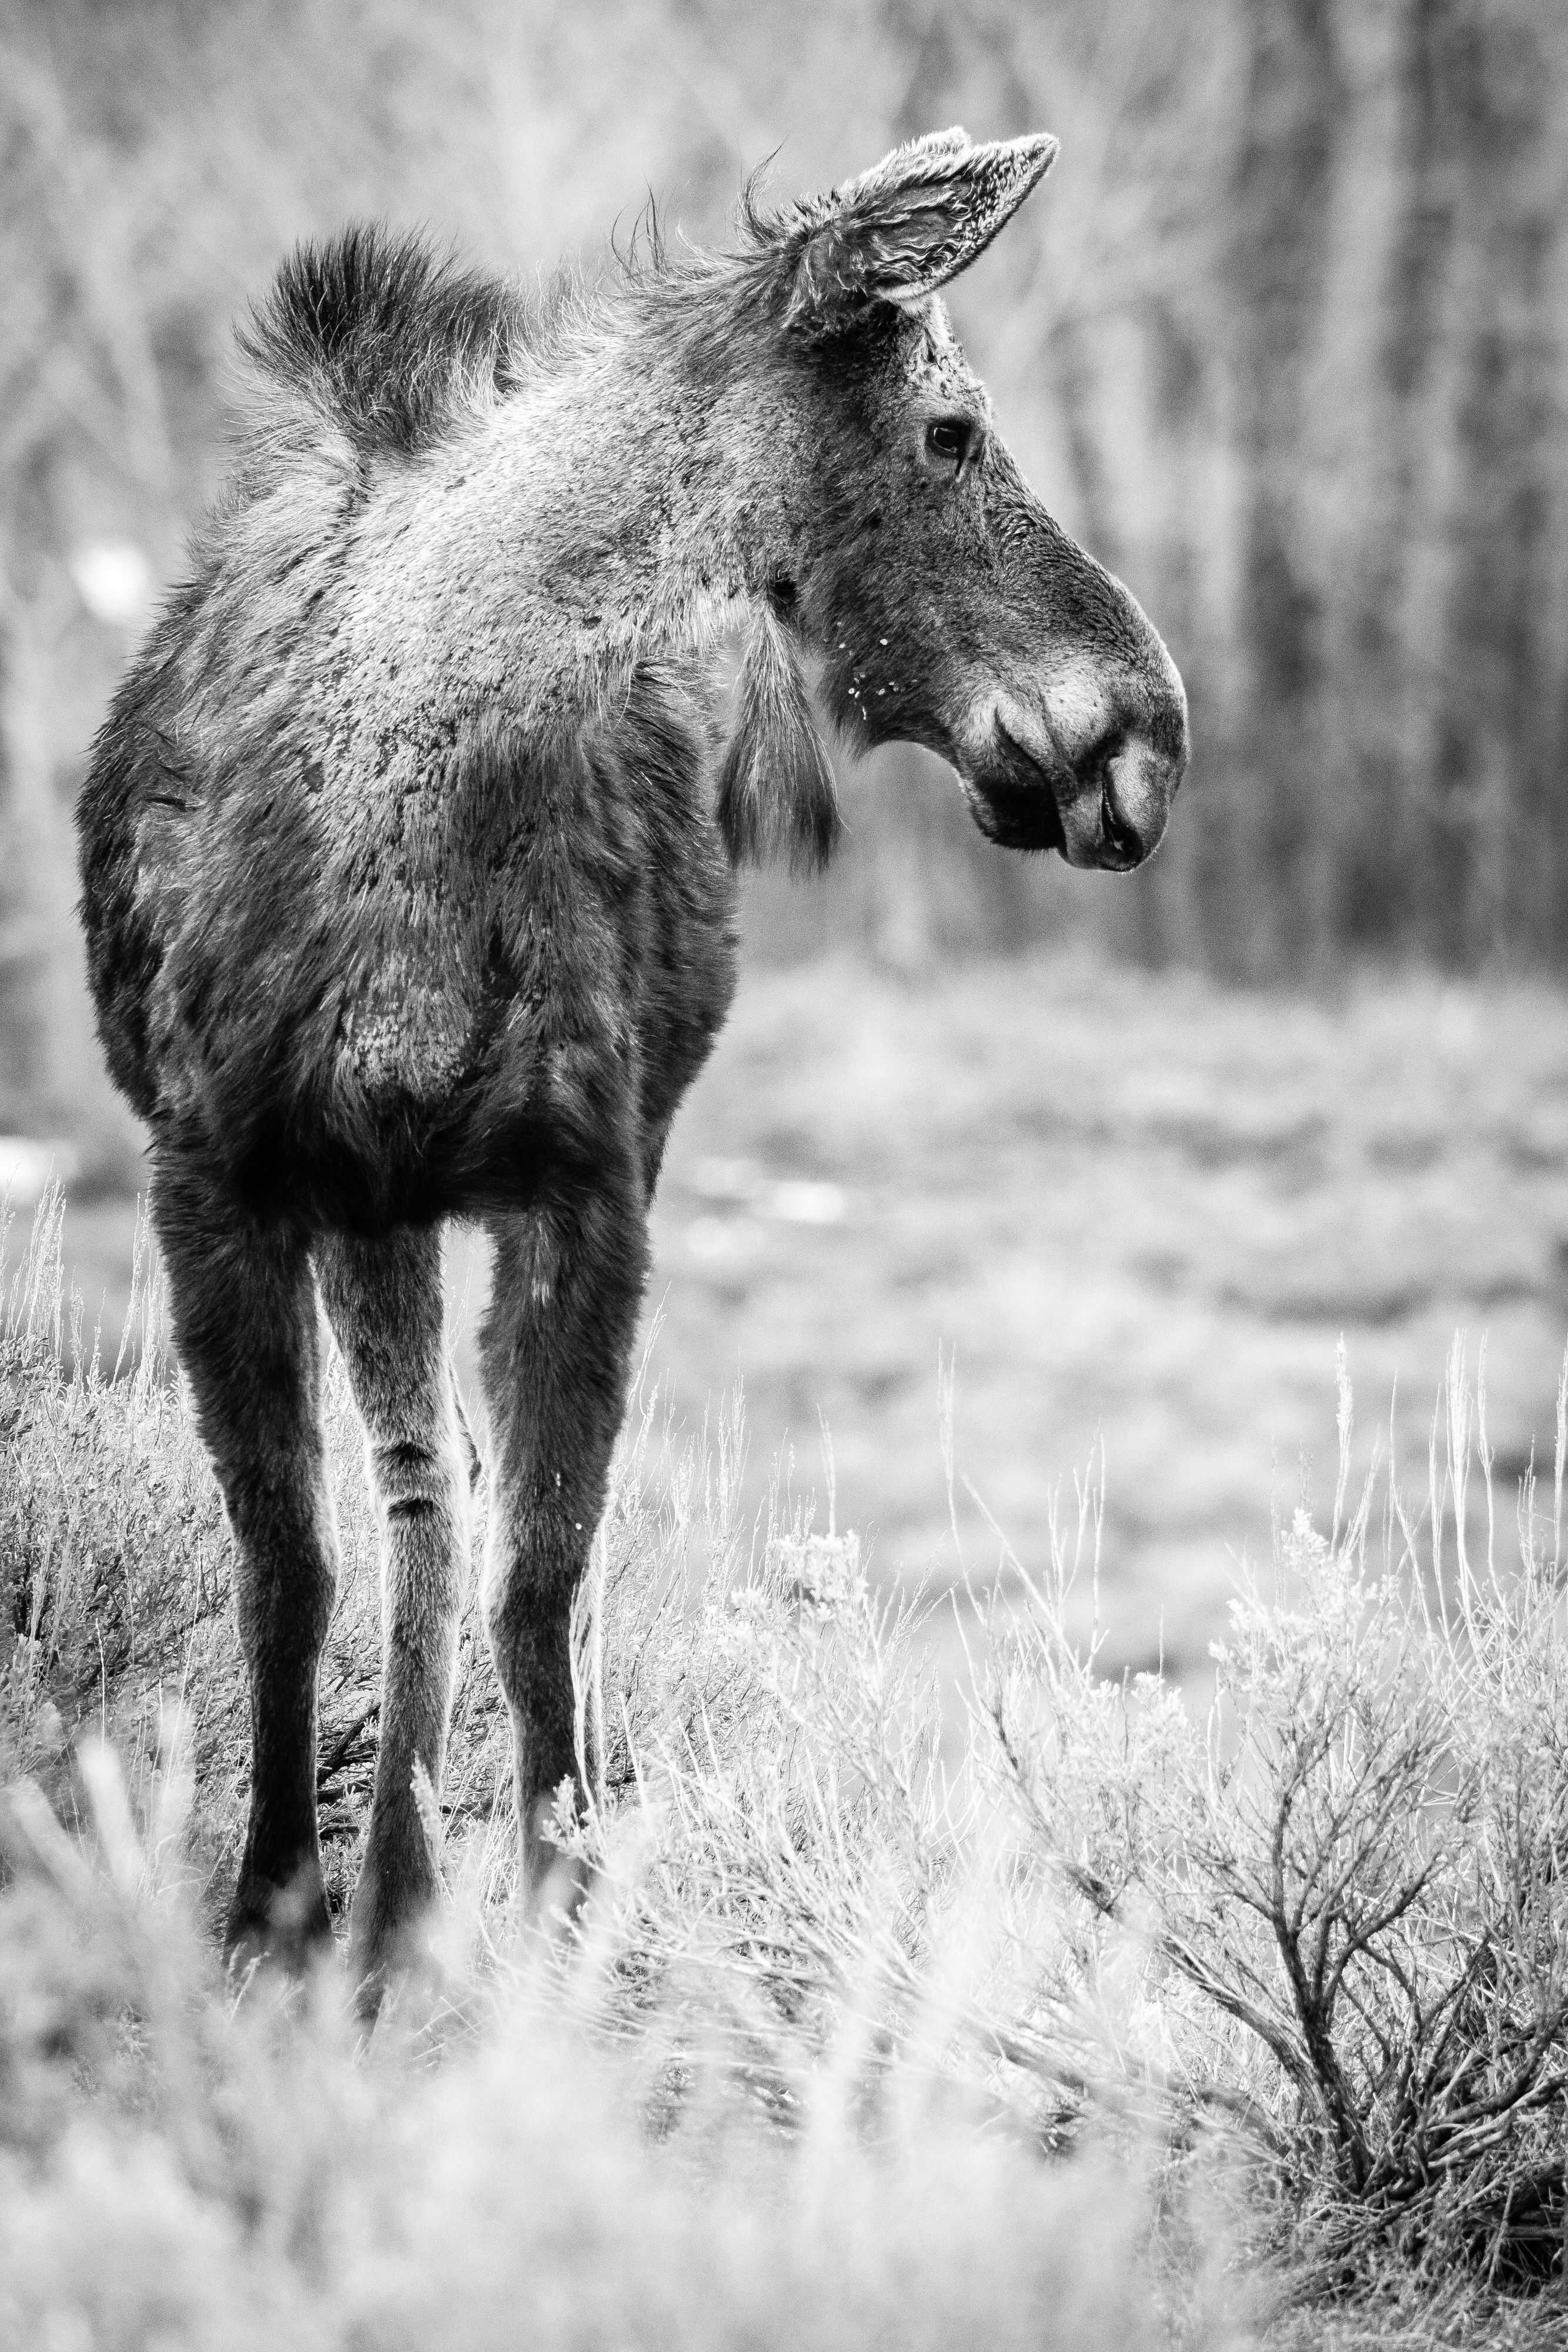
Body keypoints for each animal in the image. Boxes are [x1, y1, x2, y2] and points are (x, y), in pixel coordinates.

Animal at [77, 126, 1188, 2007]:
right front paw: (271, 1911)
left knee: (467, 1506)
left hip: (479, 1185)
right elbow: (290, 1559)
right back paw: (383, 1907)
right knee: (416, 1491)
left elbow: (551, 1572)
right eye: (950, 428)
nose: (1147, 732)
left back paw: (418, 1901)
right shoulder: (219, 1174)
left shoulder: (582, 1179)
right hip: (368, 1204)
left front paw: (558, 1911)